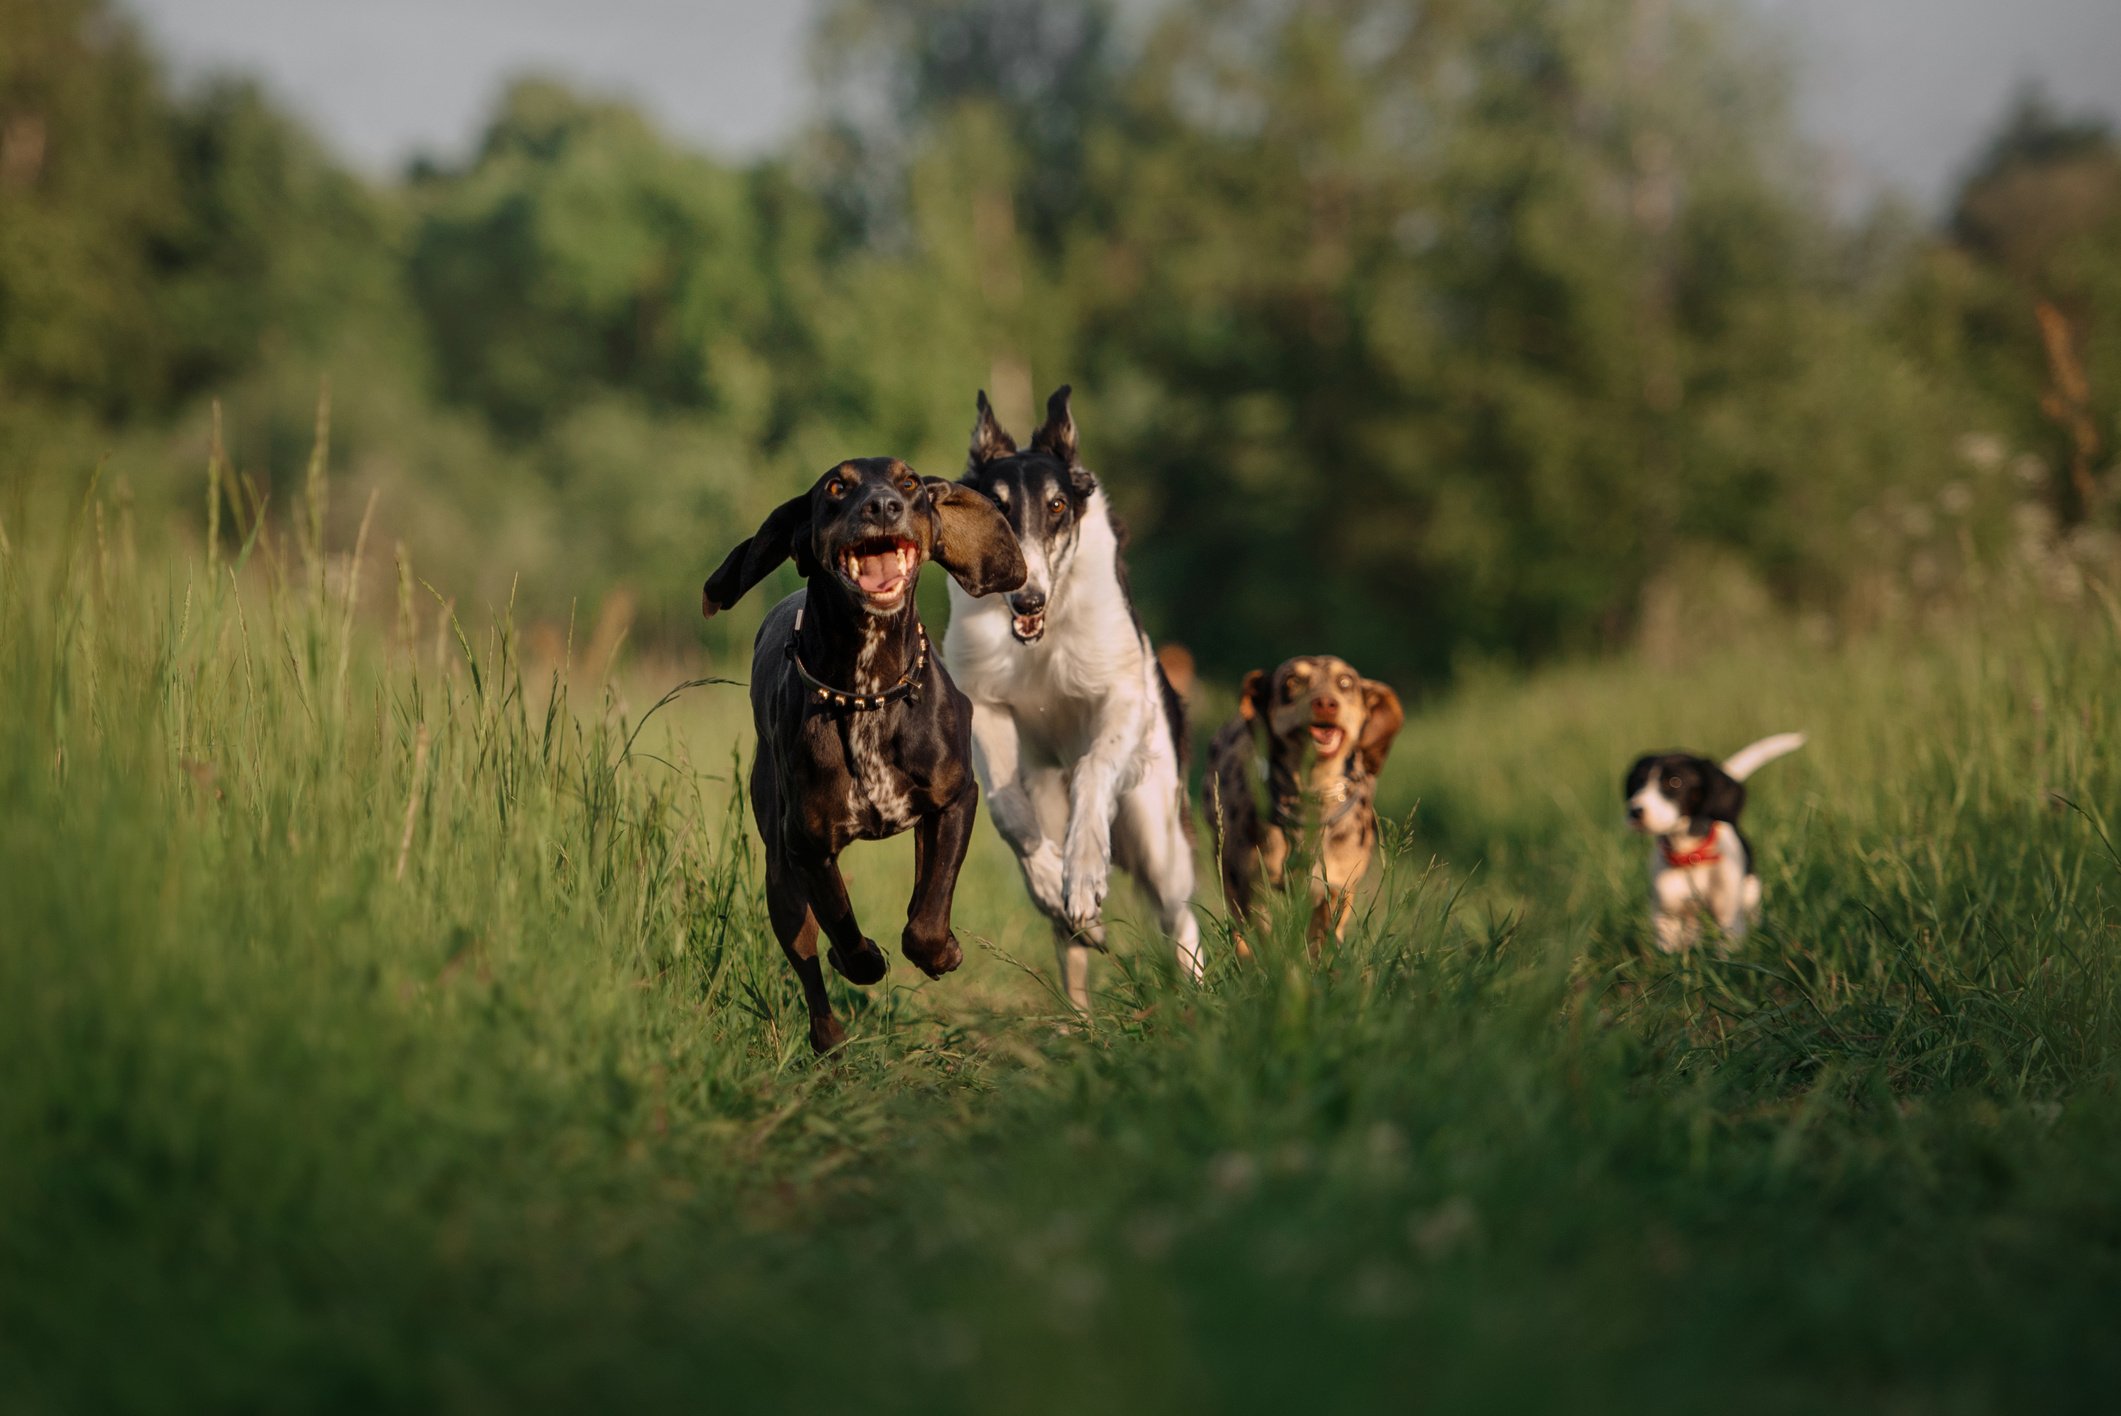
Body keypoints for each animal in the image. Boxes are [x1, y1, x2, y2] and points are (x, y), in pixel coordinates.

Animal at [699, 455, 1022, 1051]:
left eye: (910, 483)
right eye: (835, 486)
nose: (883, 506)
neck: (868, 689)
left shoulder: (955, 799)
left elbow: (928, 913)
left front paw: (940, 951)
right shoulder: (806, 846)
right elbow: (841, 922)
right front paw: (863, 959)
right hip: (778, 876)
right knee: (806, 960)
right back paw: (828, 1037)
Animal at [1221, 657, 1399, 958]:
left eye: (1345, 682)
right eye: (1291, 681)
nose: (1326, 703)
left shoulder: (1336, 887)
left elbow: (1321, 939)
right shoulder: (1251, 887)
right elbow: (1260, 937)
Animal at [1620, 729, 1807, 949]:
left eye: (1675, 781)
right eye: (1638, 782)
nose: (1635, 811)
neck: (1690, 856)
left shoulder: (1728, 919)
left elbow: (1728, 948)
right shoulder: (1666, 917)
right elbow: (1668, 950)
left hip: (1749, 895)